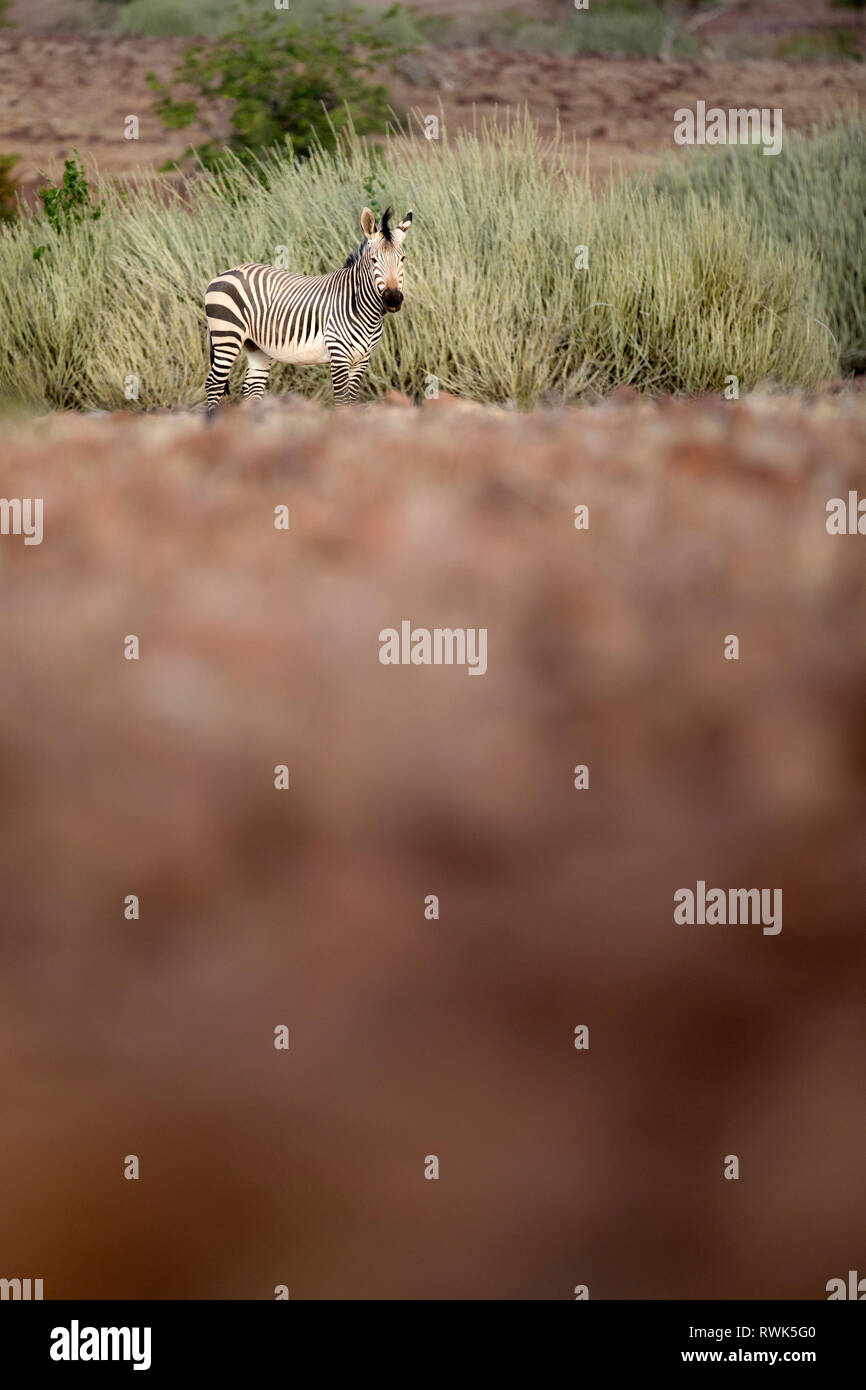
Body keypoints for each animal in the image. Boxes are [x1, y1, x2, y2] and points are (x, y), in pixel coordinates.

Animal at [207, 205, 417, 408]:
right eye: (374, 260)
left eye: (403, 259)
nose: (393, 299)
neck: (362, 309)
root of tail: (227, 272)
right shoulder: (339, 355)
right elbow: (342, 401)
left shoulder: (361, 360)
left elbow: (351, 400)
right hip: (227, 336)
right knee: (214, 383)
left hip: (255, 346)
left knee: (252, 387)